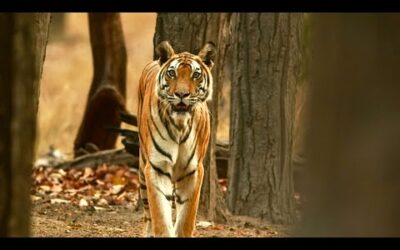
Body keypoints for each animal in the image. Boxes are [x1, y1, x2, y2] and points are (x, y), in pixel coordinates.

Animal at [137, 40, 216, 236]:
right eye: (172, 73)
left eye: (196, 75)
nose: (181, 94)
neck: (180, 126)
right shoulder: (156, 167)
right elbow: (160, 217)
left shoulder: (193, 171)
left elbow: (186, 218)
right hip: (142, 168)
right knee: (148, 215)